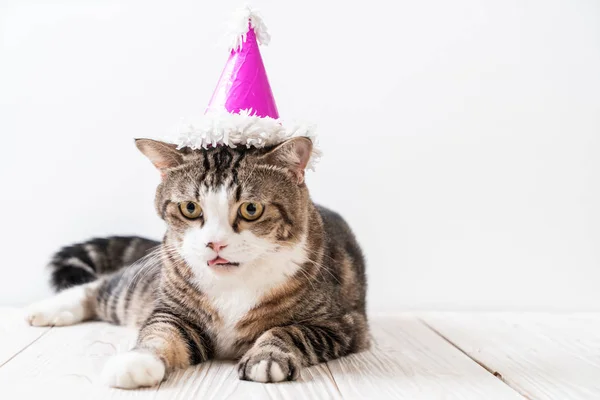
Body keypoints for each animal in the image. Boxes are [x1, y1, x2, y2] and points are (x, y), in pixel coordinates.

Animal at [25, 138, 368, 388]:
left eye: (251, 209)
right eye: (190, 207)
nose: (214, 243)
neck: (234, 284)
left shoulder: (343, 323)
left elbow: (288, 331)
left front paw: (266, 358)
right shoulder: (174, 310)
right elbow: (161, 332)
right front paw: (137, 361)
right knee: (101, 288)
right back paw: (47, 309)